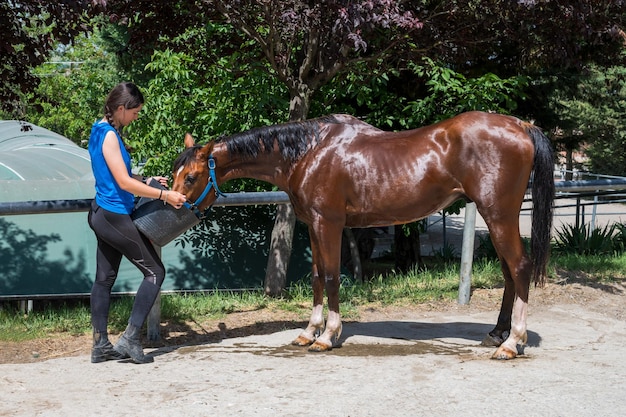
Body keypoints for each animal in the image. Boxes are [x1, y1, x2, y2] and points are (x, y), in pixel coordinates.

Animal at [171, 112, 552, 360]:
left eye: (191, 176)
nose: (175, 206)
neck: (309, 152)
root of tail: (521, 126)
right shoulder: (312, 225)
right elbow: (315, 277)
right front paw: (308, 332)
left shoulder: (328, 223)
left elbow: (330, 276)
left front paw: (327, 336)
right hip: (498, 217)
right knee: (509, 273)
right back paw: (497, 334)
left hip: (499, 215)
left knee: (519, 268)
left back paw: (511, 343)